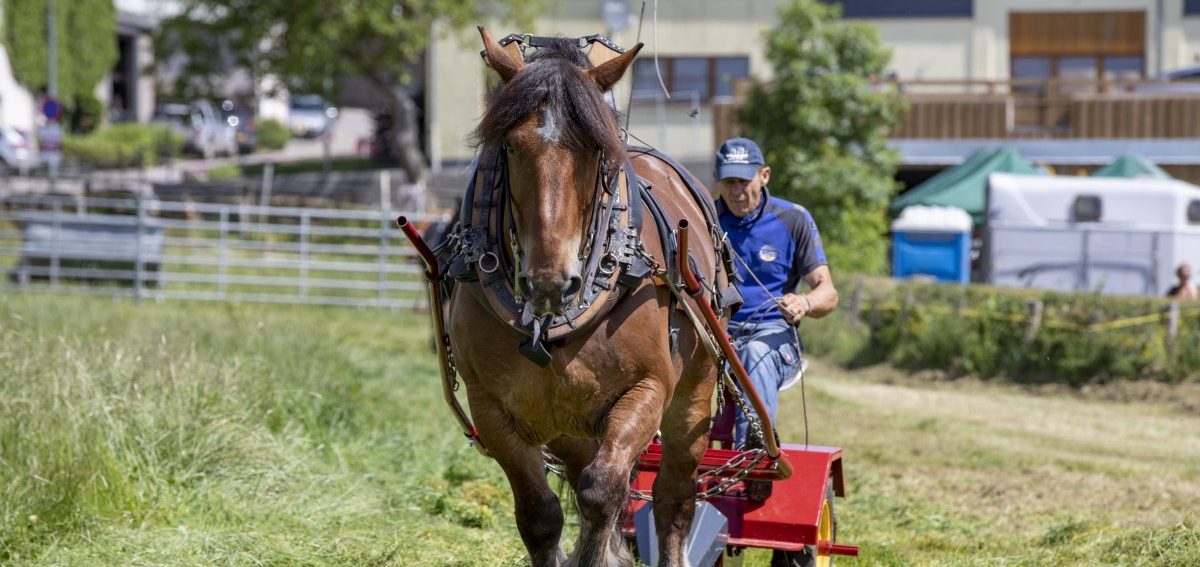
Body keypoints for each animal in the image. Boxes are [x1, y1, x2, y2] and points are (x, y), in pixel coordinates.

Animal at [446, 28, 732, 567]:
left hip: (694, 394)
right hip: (568, 423)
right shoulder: (490, 407)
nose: (551, 283)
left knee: (672, 497)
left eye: (595, 150)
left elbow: (602, 493)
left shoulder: (647, 389)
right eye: (509, 146)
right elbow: (540, 515)